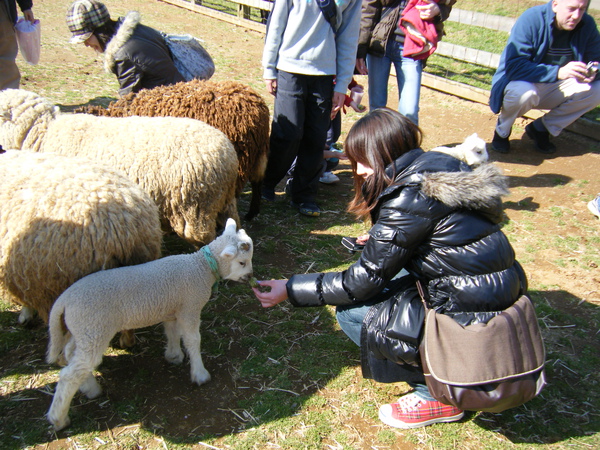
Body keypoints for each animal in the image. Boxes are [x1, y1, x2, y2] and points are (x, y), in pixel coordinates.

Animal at [45, 220, 253, 430]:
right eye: (242, 262)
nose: (250, 277)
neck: (201, 267)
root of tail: (64, 300)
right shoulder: (190, 307)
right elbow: (193, 340)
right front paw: (200, 374)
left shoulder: (173, 309)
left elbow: (172, 332)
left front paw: (174, 355)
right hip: (94, 329)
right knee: (70, 374)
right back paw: (59, 418)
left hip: (82, 330)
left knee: (72, 356)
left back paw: (90, 388)